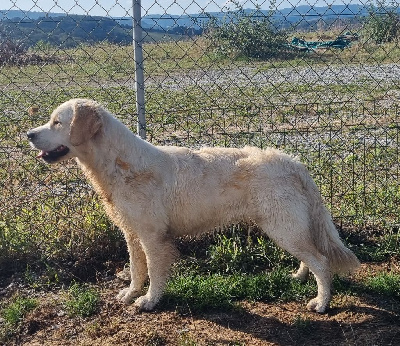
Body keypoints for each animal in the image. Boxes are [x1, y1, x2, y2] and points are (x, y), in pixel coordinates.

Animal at [27, 98, 360, 312]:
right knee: (311, 258)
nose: (28, 134)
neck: (121, 165)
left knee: (322, 263)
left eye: (57, 122)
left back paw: (321, 302)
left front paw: (149, 301)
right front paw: (131, 293)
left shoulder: (153, 237)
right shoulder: (132, 234)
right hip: (288, 229)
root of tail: (291, 161)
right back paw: (299, 277)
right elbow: (136, 270)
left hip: (283, 228)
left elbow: (155, 273)